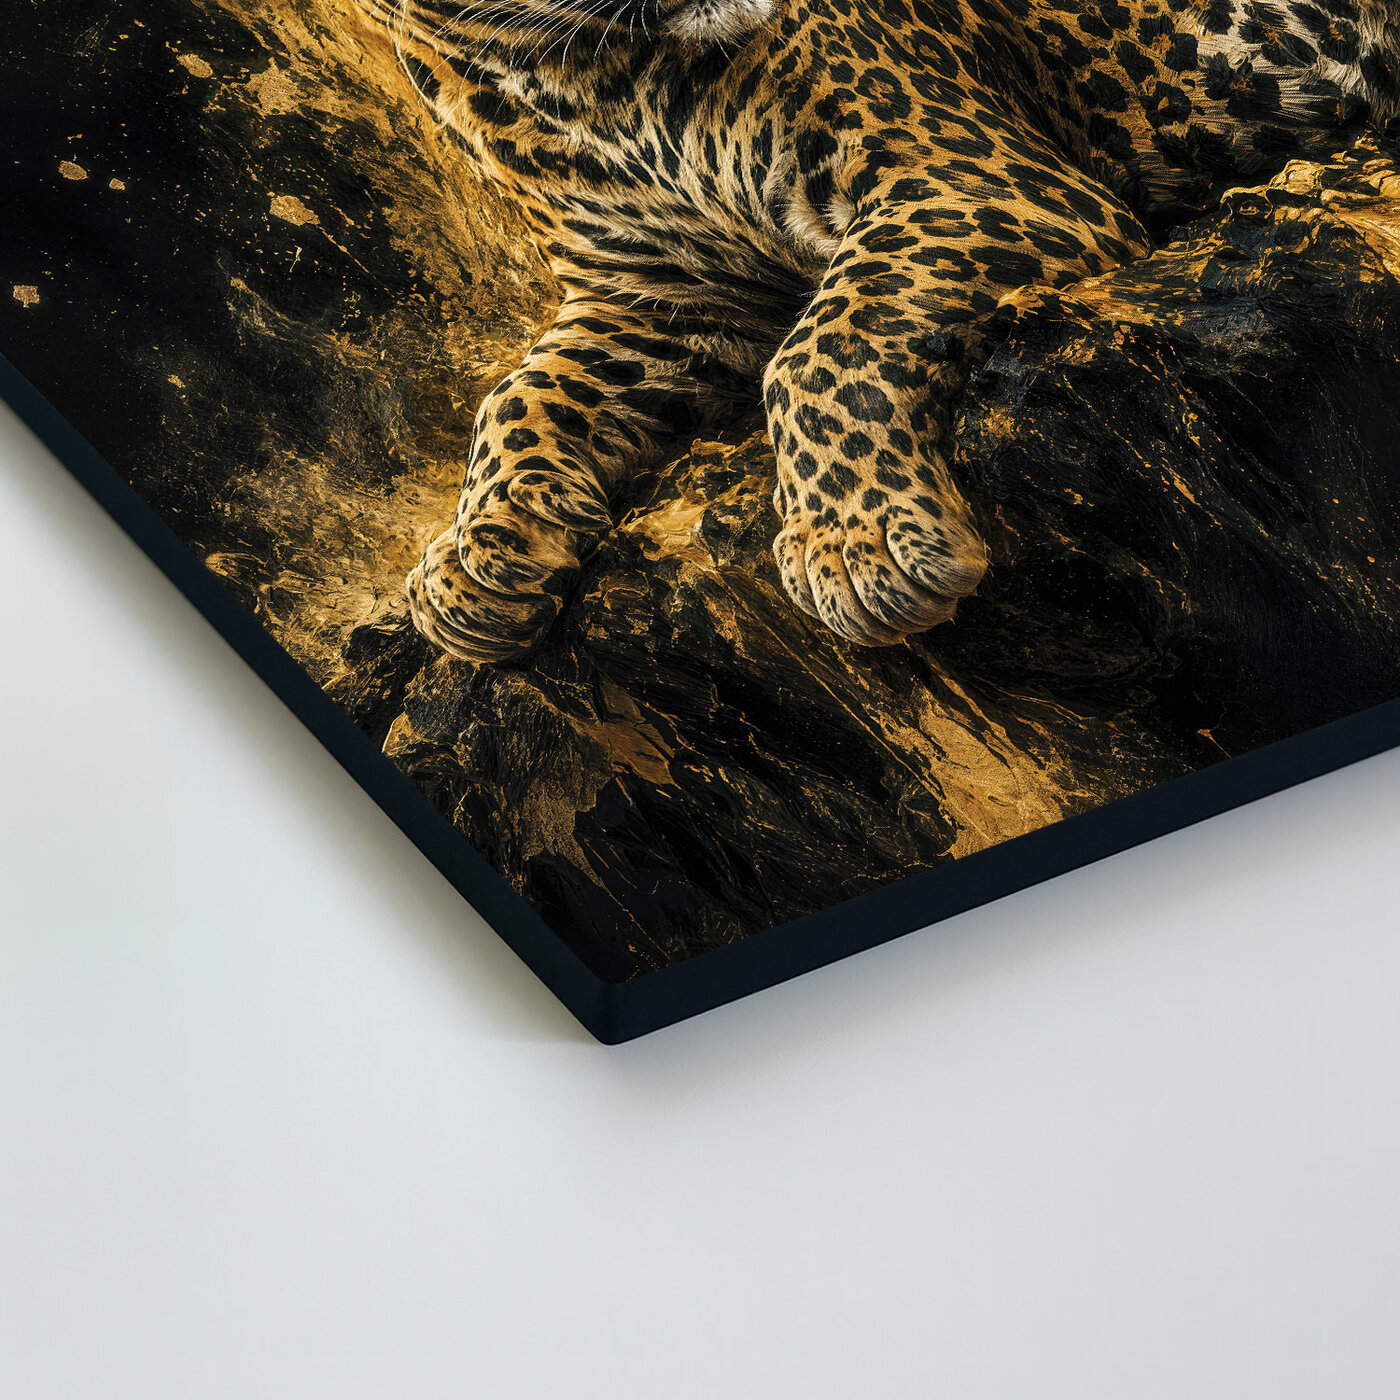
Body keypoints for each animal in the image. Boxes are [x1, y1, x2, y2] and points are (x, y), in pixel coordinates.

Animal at [359, 0, 1400, 659]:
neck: (583, 71)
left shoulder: (979, 179)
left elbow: (823, 342)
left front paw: (858, 549)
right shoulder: (657, 298)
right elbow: (516, 394)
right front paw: (475, 557)